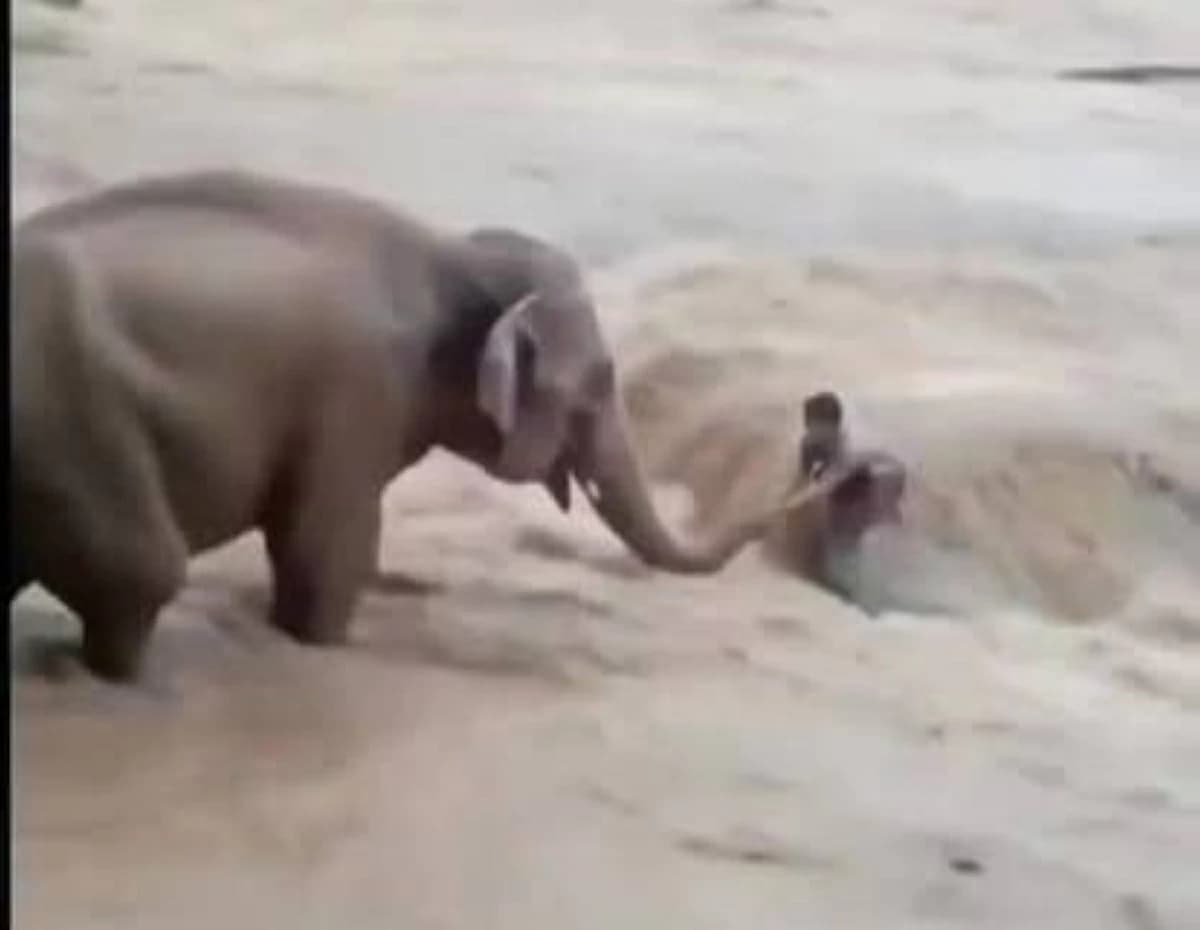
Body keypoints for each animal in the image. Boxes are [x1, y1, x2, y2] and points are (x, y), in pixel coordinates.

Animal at [10, 170, 766, 681]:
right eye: (603, 381)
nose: (769, 516)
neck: (452, 250)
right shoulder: (356, 391)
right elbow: (324, 551)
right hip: (71, 414)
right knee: (138, 573)